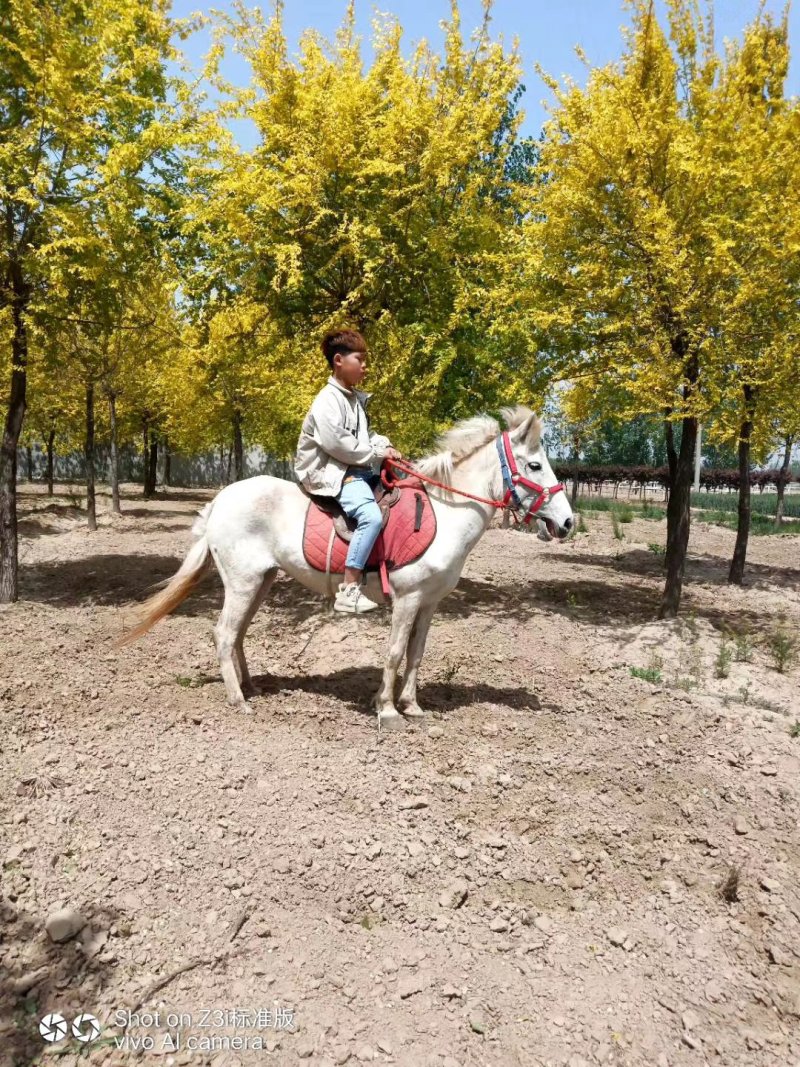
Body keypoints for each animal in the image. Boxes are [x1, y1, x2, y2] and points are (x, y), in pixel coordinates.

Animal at [118, 406, 574, 730]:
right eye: (535, 465)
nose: (568, 523)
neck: (445, 514)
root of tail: (222, 499)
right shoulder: (407, 600)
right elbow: (393, 653)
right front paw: (387, 710)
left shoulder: (429, 604)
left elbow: (416, 654)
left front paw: (412, 705)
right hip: (243, 582)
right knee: (225, 633)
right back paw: (239, 700)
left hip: (260, 581)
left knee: (238, 634)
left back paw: (252, 686)